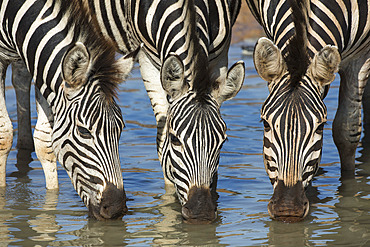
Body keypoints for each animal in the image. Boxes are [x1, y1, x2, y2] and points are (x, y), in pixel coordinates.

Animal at [0, 0, 139, 220]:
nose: (116, 208)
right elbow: (4, 134)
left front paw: (51, 202)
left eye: (120, 129)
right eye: (83, 131)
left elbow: (45, 142)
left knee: (20, 77)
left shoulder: (39, 65)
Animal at [87, 0, 246, 223]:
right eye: (175, 140)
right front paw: (169, 210)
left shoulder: (220, 56)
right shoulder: (147, 60)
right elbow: (162, 148)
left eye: (222, 142)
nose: (201, 213)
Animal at [246, 0, 370, 222]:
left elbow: (346, 131)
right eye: (266, 124)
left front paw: (348, 193)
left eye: (320, 127)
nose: (287, 210)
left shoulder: (361, 57)